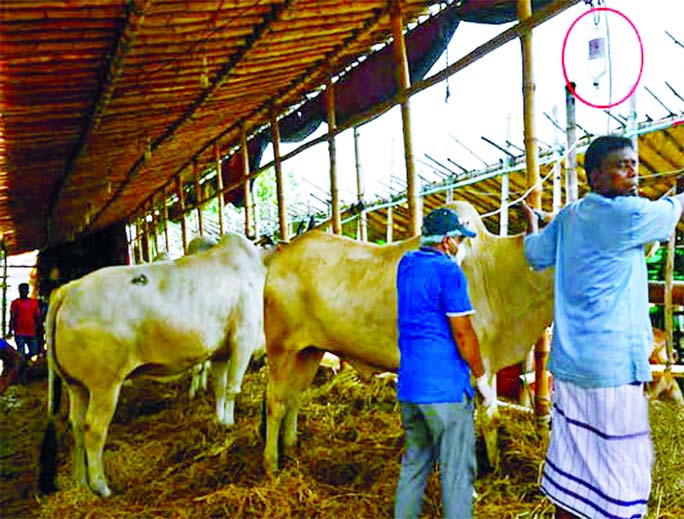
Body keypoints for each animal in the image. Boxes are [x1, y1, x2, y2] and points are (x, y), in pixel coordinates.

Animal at [38, 234, 270, 498]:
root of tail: (68, 289)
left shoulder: (220, 352)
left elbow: (220, 388)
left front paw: (220, 421)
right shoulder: (243, 338)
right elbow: (232, 387)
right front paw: (230, 423)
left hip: (76, 386)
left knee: (75, 424)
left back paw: (80, 482)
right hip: (104, 386)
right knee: (93, 429)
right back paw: (101, 486)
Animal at [262, 200, 556, 476]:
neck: (496, 271)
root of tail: (283, 255)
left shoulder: (488, 366)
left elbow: (491, 418)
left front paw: (494, 466)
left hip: (309, 351)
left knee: (294, 397)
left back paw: (291, 446)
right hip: (281, 349)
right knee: (276, 402)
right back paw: (271, 463)